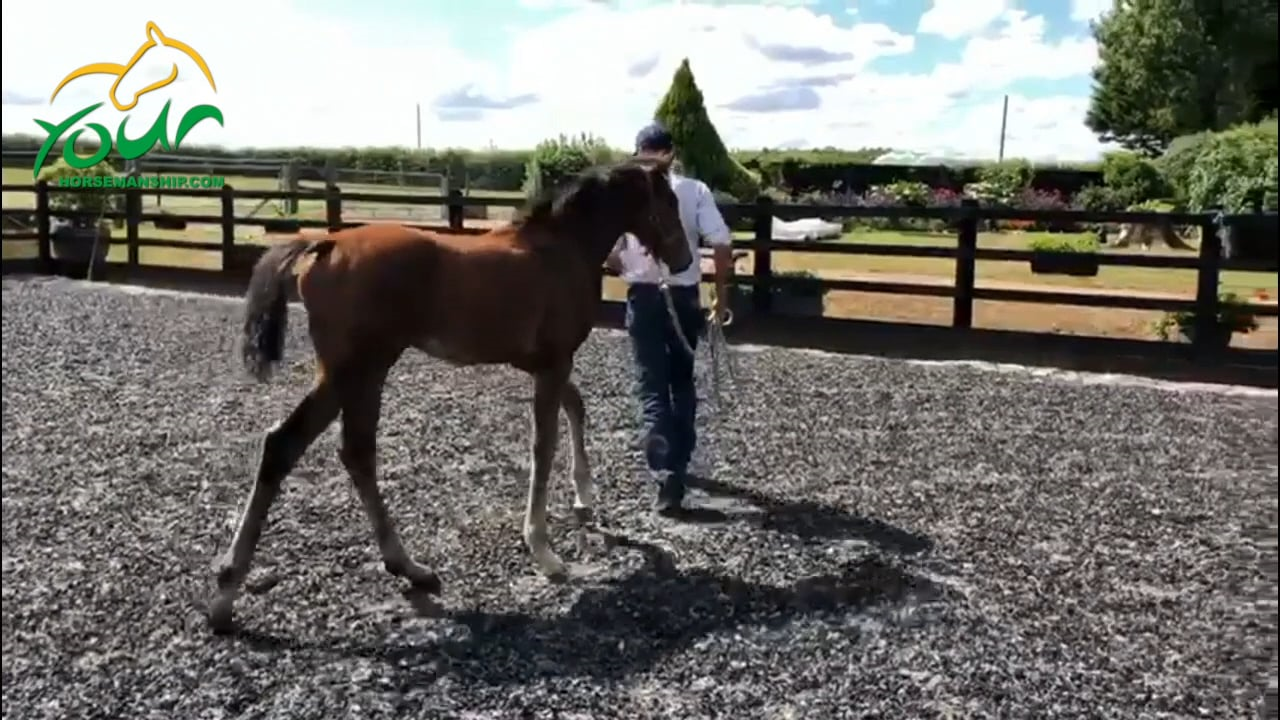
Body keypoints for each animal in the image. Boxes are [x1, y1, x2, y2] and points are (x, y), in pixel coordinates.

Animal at [207, 158, 691, 627]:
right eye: (668, 202)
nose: (685, 259)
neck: (561, 247)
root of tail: (327, 243)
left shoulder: (540, 363)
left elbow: (576, 407)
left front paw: (585, 498)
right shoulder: (554, 364)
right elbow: (544, 445)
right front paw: (544, 551)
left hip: (365, 373)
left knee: (354, 452)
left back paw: (409, 568)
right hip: (353, 370)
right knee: (288, 445)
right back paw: (226, 593)